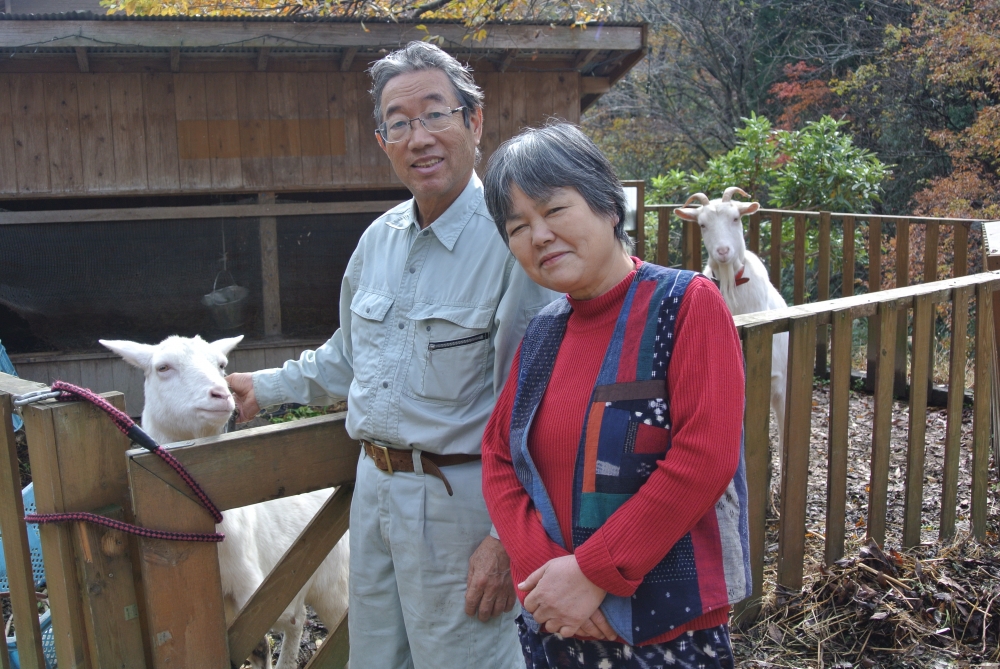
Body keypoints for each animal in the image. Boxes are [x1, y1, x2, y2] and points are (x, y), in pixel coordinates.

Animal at [98, 334, 348, 668]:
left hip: (335, 583)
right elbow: (260, 647)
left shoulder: (250, 590)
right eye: (163, 367)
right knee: (296, 621)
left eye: (221, 364)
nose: (221, 394)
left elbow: (260, 640)